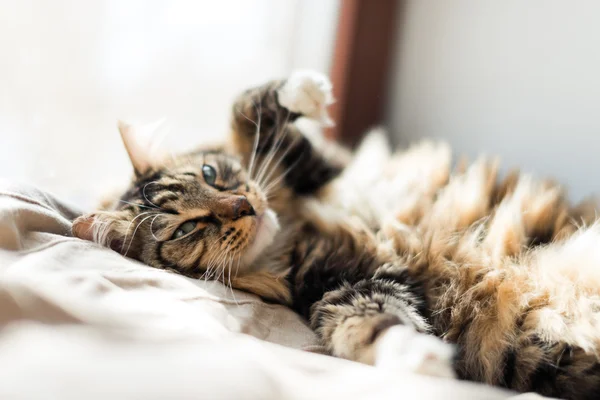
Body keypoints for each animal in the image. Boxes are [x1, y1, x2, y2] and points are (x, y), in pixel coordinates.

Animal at [74, 70, 600, 398]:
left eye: (210, 174)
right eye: (187, 227)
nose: (244, 206)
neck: (290, 235)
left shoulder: (316, 165)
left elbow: (247, 111)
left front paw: (304, 90)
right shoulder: (347, 286)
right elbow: (373, 326)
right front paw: (424, 362)